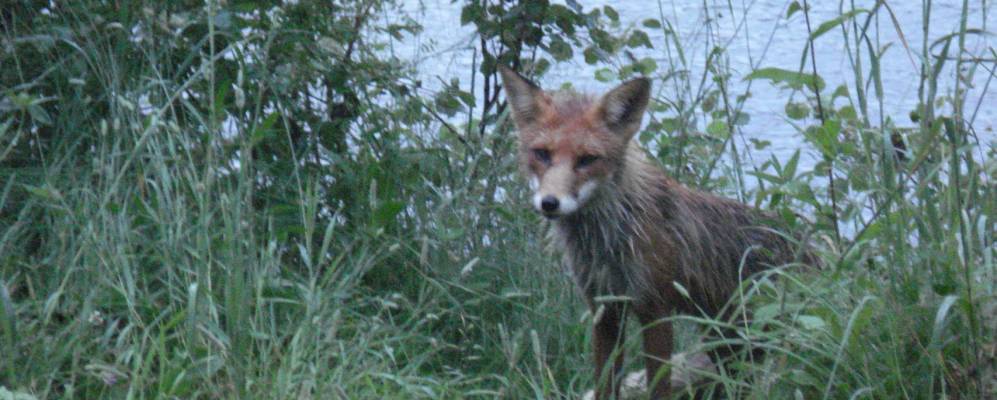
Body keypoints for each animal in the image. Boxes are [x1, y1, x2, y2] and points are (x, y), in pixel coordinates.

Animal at [498, 65, 816, 396]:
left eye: (587, 159)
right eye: (542, 154)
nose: (550, 202)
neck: (609, 241)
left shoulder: (656, 310)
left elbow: (658, 388)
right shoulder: (604, 310)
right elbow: (605, 385)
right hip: (726, 344)